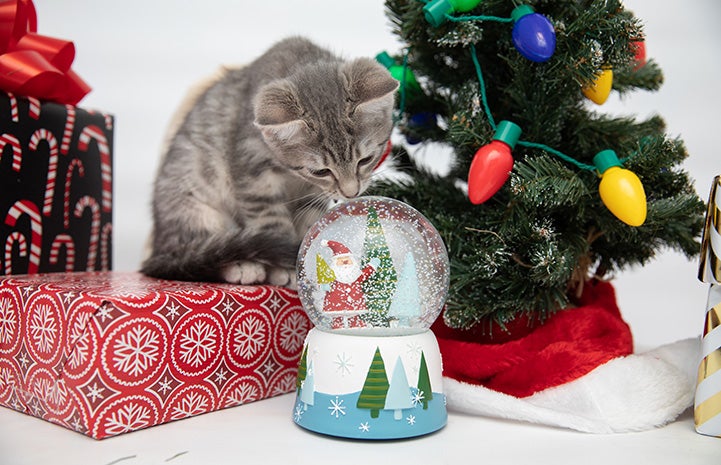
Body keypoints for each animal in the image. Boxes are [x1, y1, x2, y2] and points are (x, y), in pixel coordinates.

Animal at [141, 36, 400, 284]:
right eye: (321, 171)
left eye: (365, 159)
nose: (351, 193)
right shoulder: (252, 170)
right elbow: (272, 222)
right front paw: (287, 269)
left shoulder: (312, 194)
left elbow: (309, 221)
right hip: (193, 202)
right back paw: (240, 266)